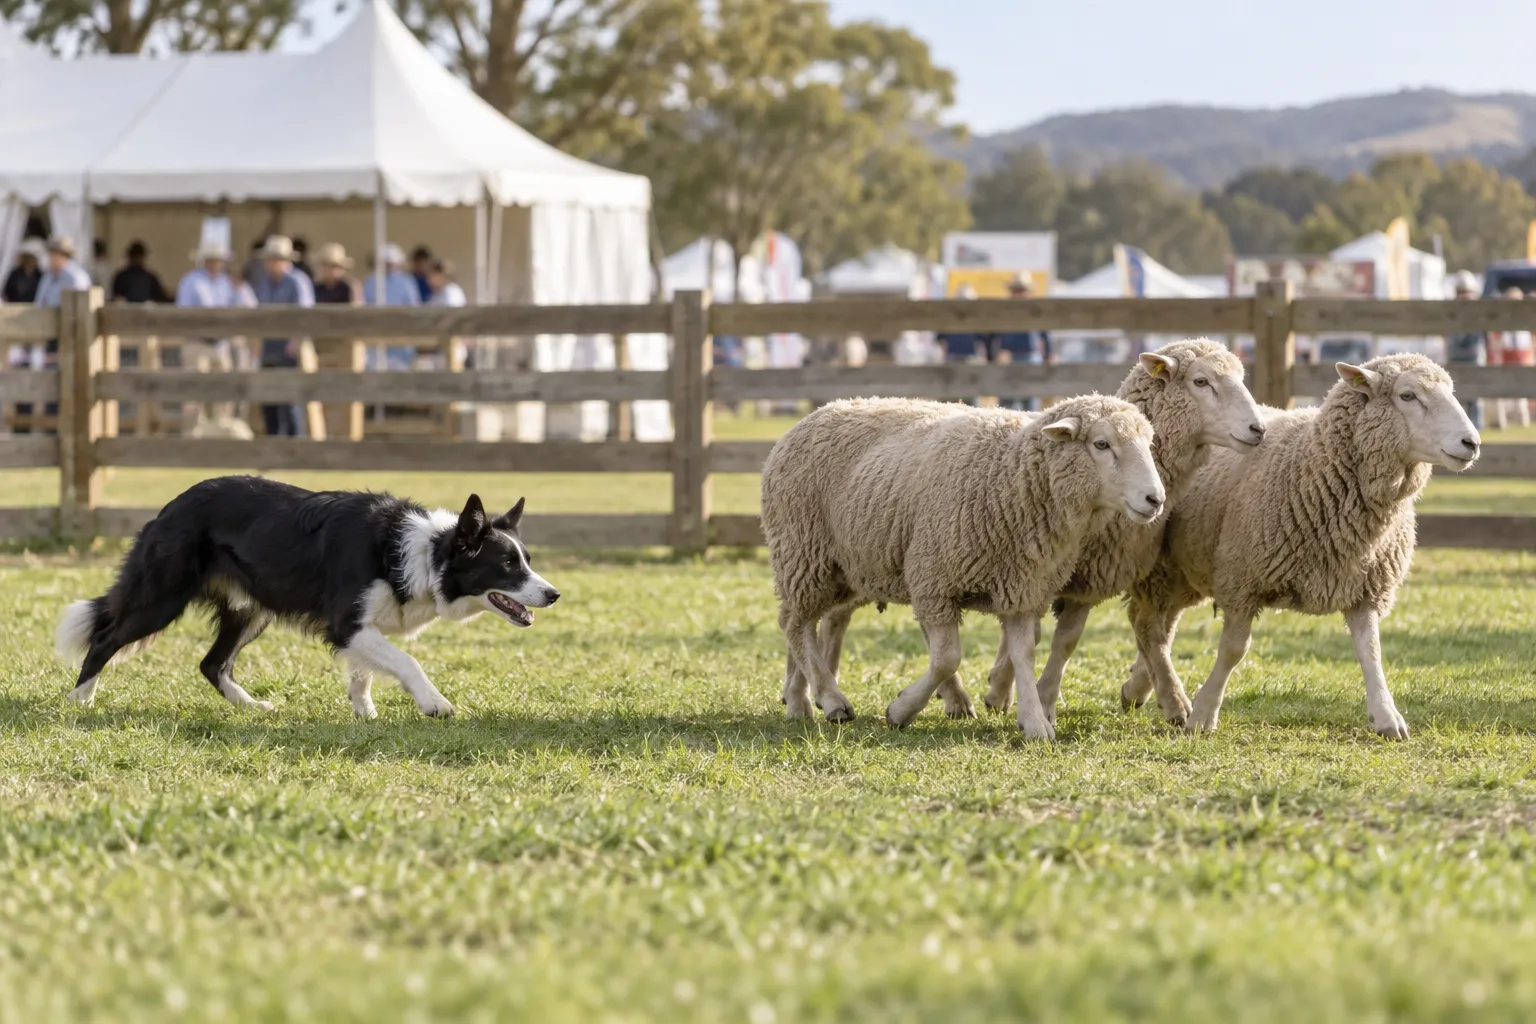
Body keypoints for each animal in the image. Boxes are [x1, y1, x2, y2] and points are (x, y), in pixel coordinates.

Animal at [761, 394, 1165, 740]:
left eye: (1149, 443)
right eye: (1101, 444)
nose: (1155, 499)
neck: (1011, 477)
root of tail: (813, 415)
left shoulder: (1023, 589)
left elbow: (1024, 655)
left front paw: (1035, 722)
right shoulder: (936, 582)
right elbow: (947, 659)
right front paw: (900, 710)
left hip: (845, 568)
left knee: (806, 623)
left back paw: (800, 700)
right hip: (803, 553)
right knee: (794, 623)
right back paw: (830, 700)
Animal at [1123, 354, 1481, 738]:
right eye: (1408, 395)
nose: (1472, 442)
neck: (1314, 465)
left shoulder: (1365, 586)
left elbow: (1371, 651)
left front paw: (1387, 716)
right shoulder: (1242, 580)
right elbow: (1234, 650)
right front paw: (1204, 714)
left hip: (1183, 570)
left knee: (1160, 625)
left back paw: (1139, 688)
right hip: (1161, 568)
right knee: (1149, 627)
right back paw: (1170, 698)